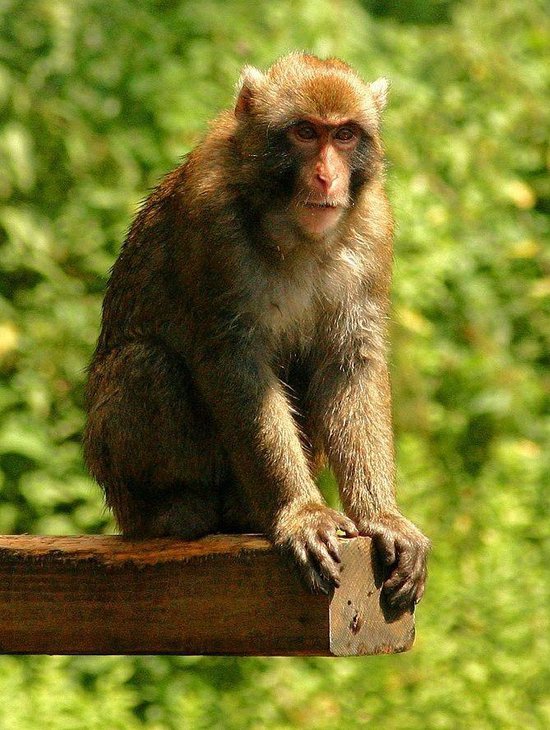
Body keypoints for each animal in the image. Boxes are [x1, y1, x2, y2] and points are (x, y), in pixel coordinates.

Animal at [83, 52, 430, 611]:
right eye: (305, 132)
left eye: (345, 135)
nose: (327, 177)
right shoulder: (210, 219)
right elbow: (232, 361)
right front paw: (301, 513)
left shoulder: (374, 224)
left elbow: (350, 361)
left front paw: (382, 517)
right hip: (124, 487)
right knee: (144, 363)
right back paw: (177, 509)